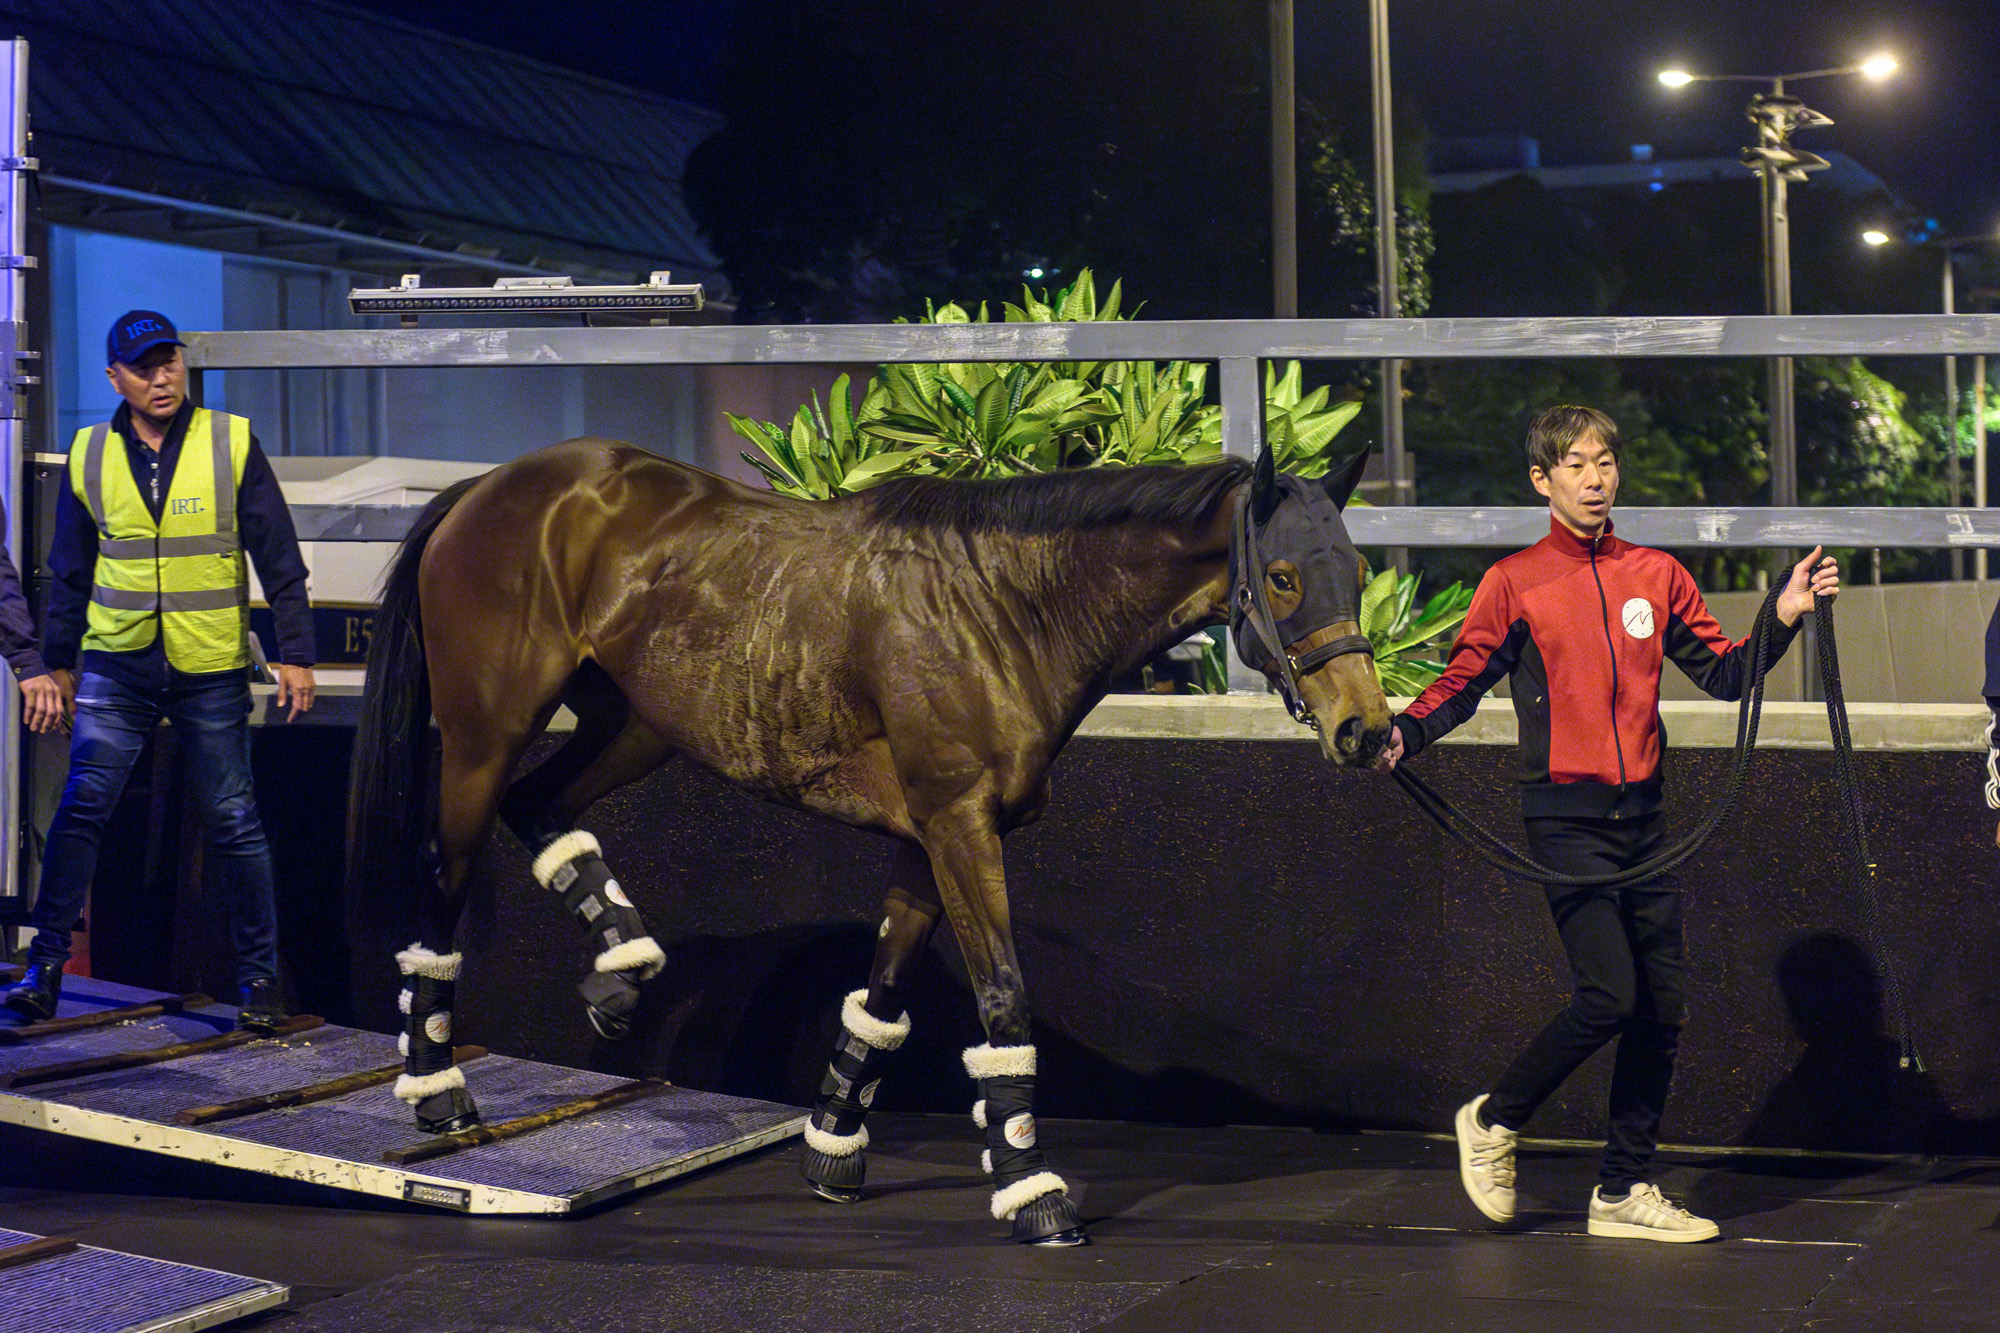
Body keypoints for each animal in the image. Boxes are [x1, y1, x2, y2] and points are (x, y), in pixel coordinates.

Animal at [348, 436, 1392, 1232]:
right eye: (1284, 576)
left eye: (1358, 571)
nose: (1367, 730)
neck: (1001, 608)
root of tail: (489, 488)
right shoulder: (959, 823)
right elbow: (1003, 998)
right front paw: (1029, 1184)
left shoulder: (933, 835)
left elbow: (884, 989)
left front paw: (835, 1146)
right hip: (482, 738)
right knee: (444, 876)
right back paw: (435, 1087)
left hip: (634, 725)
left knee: (542, 808)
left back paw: (621, 968)